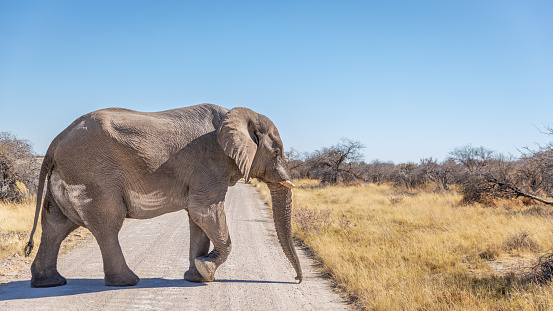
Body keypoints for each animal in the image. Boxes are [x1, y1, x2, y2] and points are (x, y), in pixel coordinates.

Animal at [24, 104, 302, 288]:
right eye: (277, 152)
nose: (297, 280)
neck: (235, 114)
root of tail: (56, 140)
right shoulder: (210, 162)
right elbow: (204, 211)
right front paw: (205, 271)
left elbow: (197, 219)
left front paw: (196, 276)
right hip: (93, 176)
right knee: (107, 224)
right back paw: (127, 282)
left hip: (68, 176)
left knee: (56, 226)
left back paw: (49, 283)